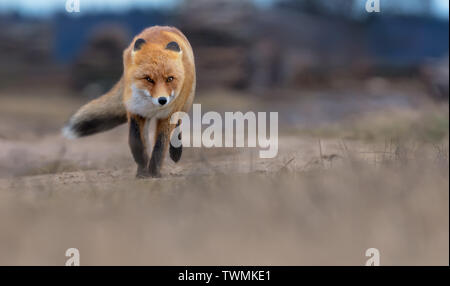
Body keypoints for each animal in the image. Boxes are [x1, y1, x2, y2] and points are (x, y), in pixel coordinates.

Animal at [62, 25, 195, 178]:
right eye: (148, 79)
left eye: (170, 79)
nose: (162, 100)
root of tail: (163, 27)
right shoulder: (135, 110)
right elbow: (135, 140)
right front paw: (142, 165)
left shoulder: (168, 114)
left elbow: (160, 145)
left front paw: (154, 172)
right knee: (146, 140)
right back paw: (141, 169)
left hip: (185, 104)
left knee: (178, 124)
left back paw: (175, 152)